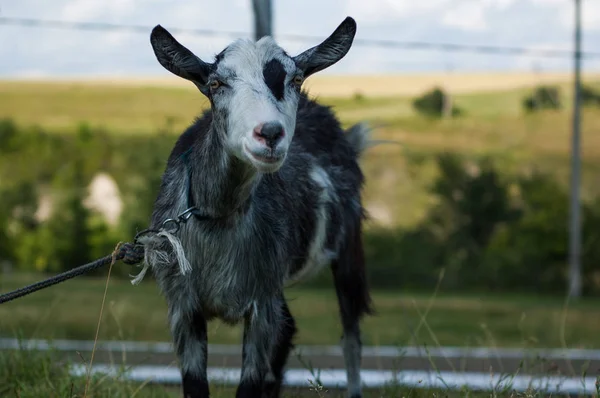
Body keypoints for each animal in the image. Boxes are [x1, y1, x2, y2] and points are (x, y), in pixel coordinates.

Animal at [141, 15, 372, 398]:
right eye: (215, 83)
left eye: (295, 79)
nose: (270, 133)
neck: (217, 218)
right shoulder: (183, 306)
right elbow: (195, 384)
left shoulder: (261, 303)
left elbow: (250, 382)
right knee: (289, 328)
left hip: (348, 248)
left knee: (350, 334)